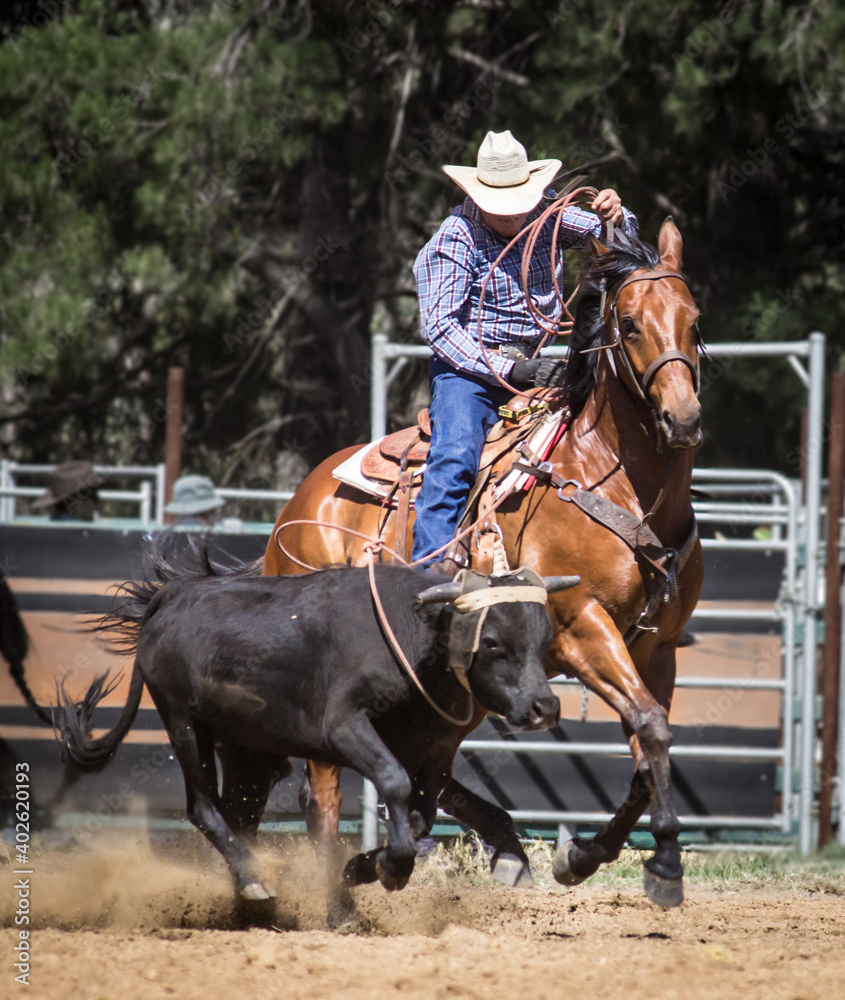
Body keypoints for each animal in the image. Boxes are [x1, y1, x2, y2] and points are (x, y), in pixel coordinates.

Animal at [262, 219, 700, 908]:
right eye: (629, 323)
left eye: (692, 317)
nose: (682, 419)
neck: (617, 480)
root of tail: (298, 504)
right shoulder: (582, 628)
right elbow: (651, 728)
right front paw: (663, 865)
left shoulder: (658, 648)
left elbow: (644, 741)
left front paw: (588, 854)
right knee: (326, 787)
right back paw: (341, 881)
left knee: (422, 772)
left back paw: (488, 848)